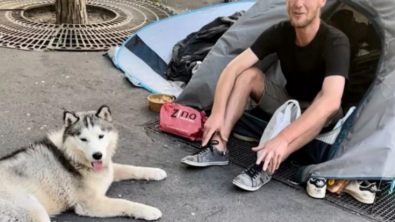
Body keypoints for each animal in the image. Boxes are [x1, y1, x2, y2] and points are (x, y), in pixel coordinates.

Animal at [0, 105, 167, 221]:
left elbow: (131, 168)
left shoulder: (107, 169)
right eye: (83, 139)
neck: (73, 158)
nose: (97, 155)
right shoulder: (90, 204)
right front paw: (148, 210)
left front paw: (155, 172)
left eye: (101, 136)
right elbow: (124, 203)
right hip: (34, 212)